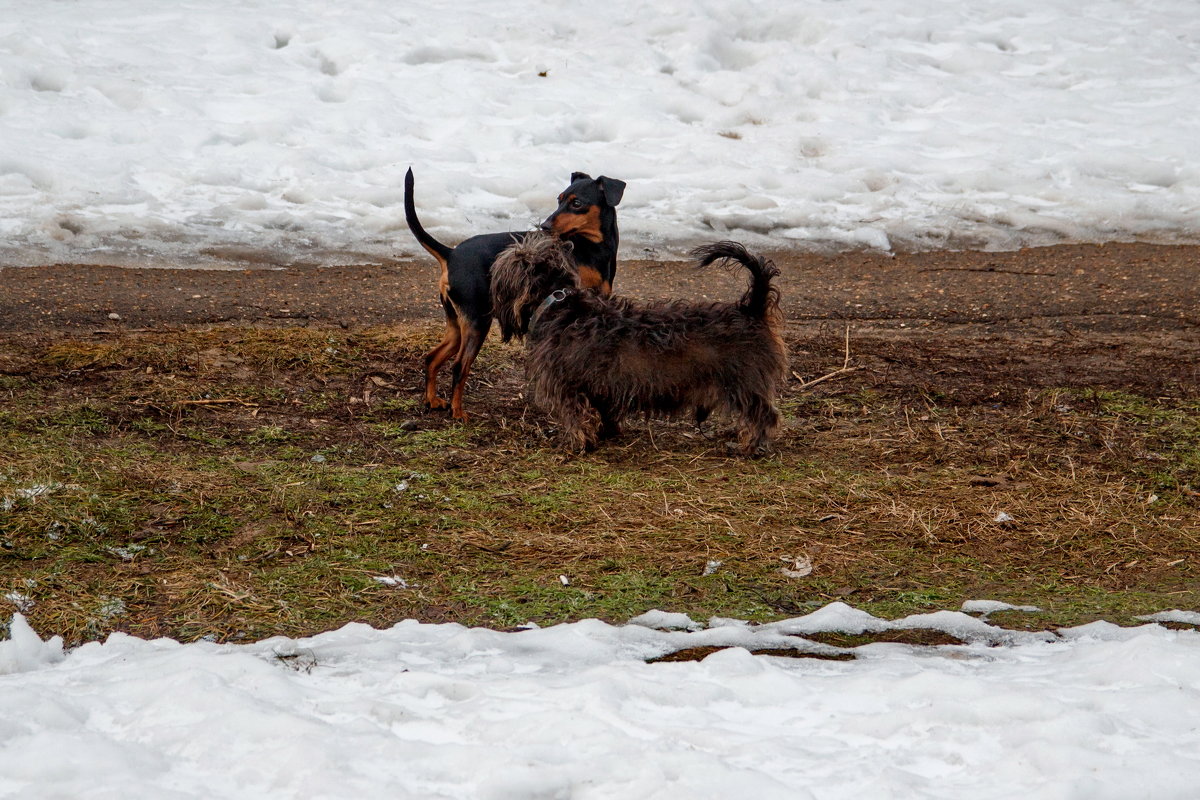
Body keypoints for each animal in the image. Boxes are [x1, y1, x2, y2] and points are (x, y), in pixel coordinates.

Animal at [405, 169, 628, 419]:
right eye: (558, 200)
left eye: (576, 203)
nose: (545, 226)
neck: (590, 248)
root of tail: (451, 254)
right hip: (477, 323)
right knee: (459, 367)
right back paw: (458, 411)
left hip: (457, 325)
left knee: (432, 358)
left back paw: (432, 399)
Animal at [489, 235, 787, 453]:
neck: (559, 304)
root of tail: (750, 309)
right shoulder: (601, 389)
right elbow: (603, 414)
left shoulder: (567, 387)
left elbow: (576, 417)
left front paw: (576, 444)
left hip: (744, 383)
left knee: (765, 415)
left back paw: (751, 446)